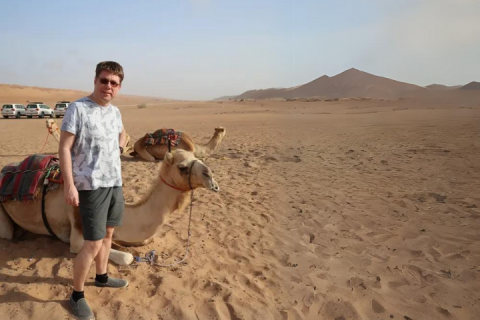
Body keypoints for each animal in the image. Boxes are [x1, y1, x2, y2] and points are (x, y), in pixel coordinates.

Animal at [0, 150, 220, 264]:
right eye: (182, 167)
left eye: (197, 157)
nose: (212, 179)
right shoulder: (77, 233)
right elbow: (127, 257)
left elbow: (142, 239)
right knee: (8, 234)